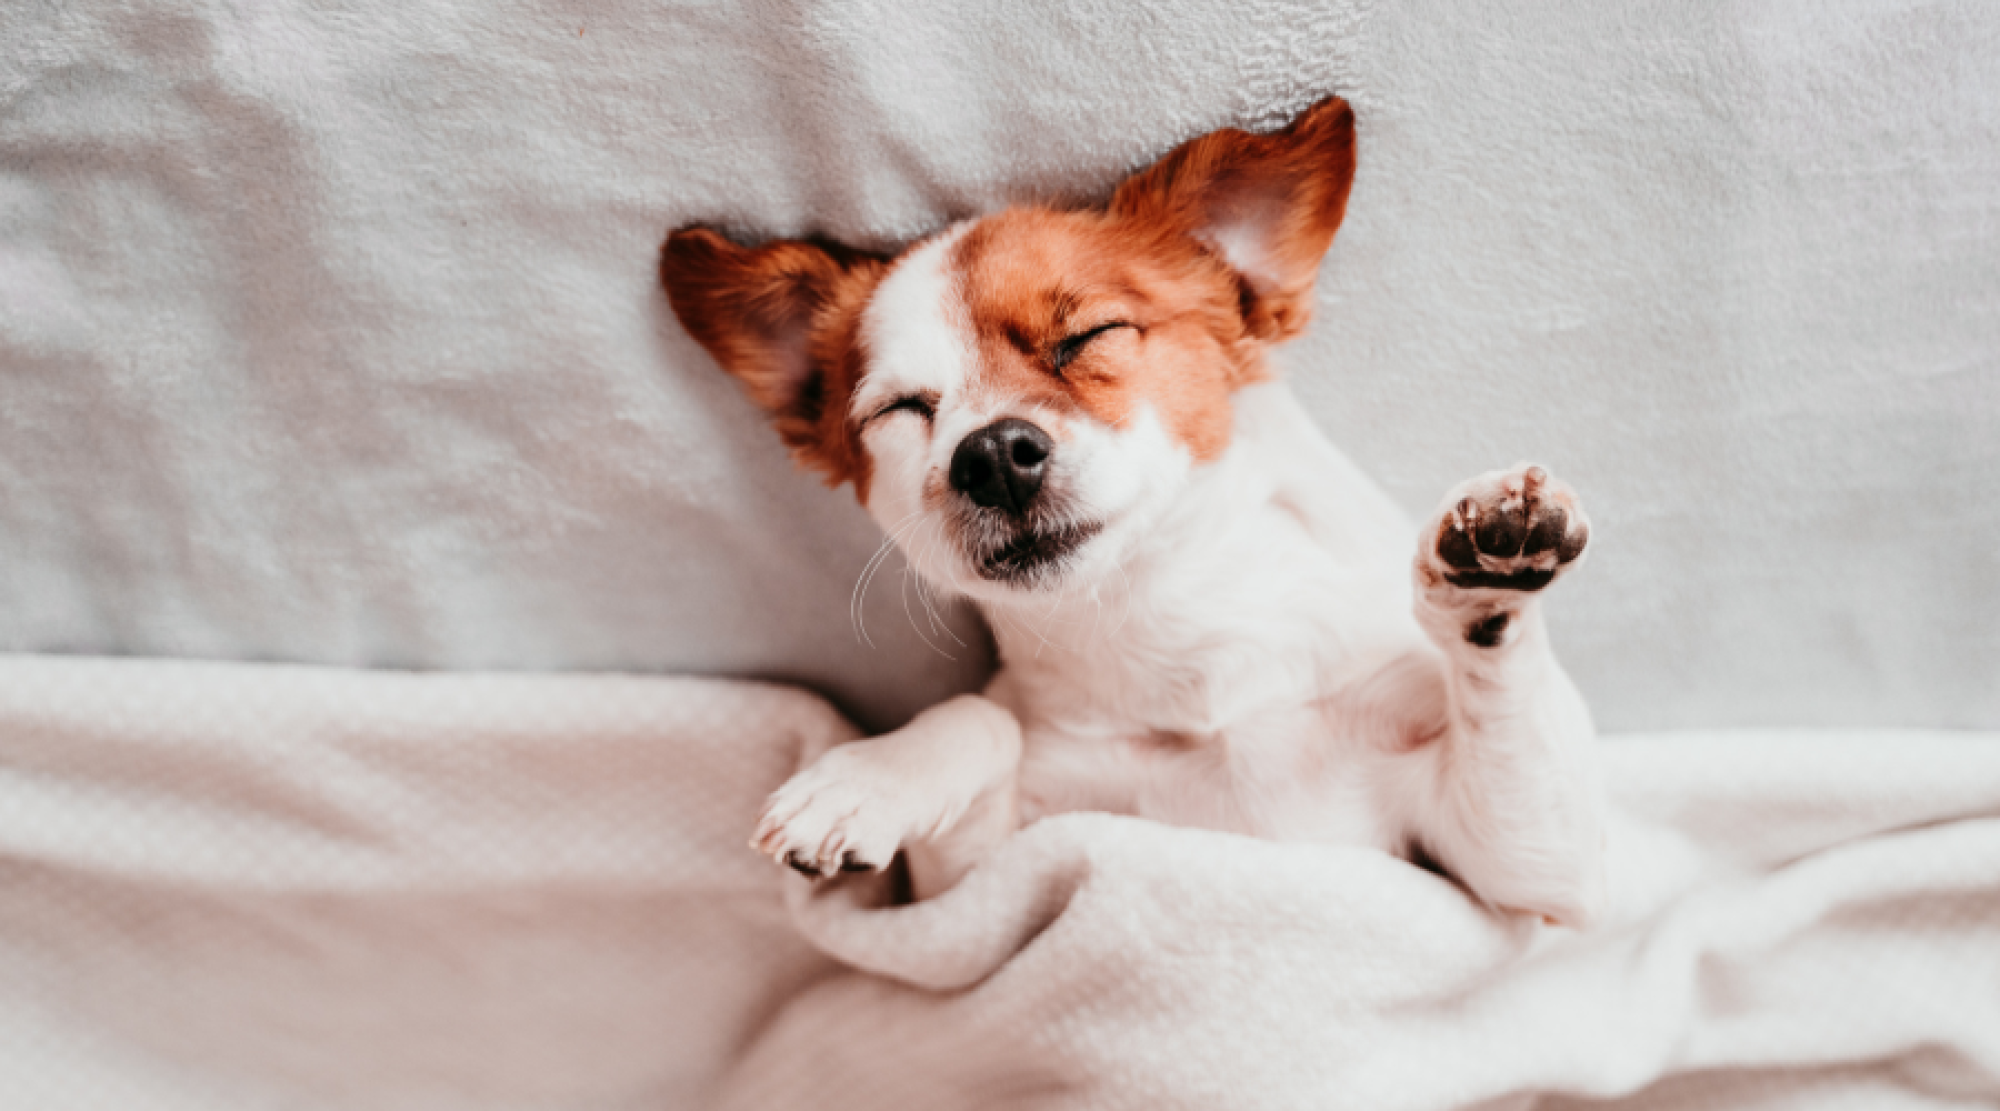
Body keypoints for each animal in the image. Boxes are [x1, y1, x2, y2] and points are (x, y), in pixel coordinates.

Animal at [664, 97, 1600, 927]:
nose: (991, 453)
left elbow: (1515, 727)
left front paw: (1492, 572)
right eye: (901, 410)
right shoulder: (968, 887)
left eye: (1090, 337)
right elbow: (981, 718)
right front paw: (866, 779)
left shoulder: (1526, 868)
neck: (1171, 639)